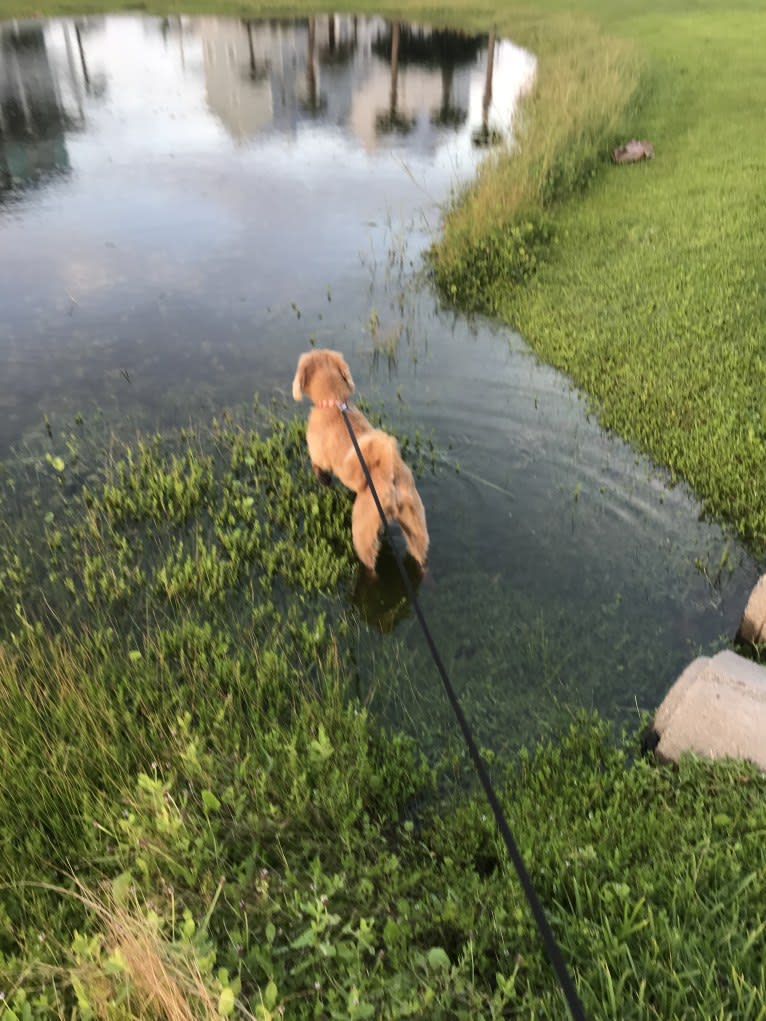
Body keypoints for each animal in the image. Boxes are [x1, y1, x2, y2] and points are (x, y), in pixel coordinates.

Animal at [290, 349, 428, 575]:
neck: (334, 401)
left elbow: (318, 469)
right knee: (419, 553)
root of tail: (391, 477)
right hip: (414, 523)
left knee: (369, 561)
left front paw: (325, 481)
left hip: (364, 527)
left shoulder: (318, 456)